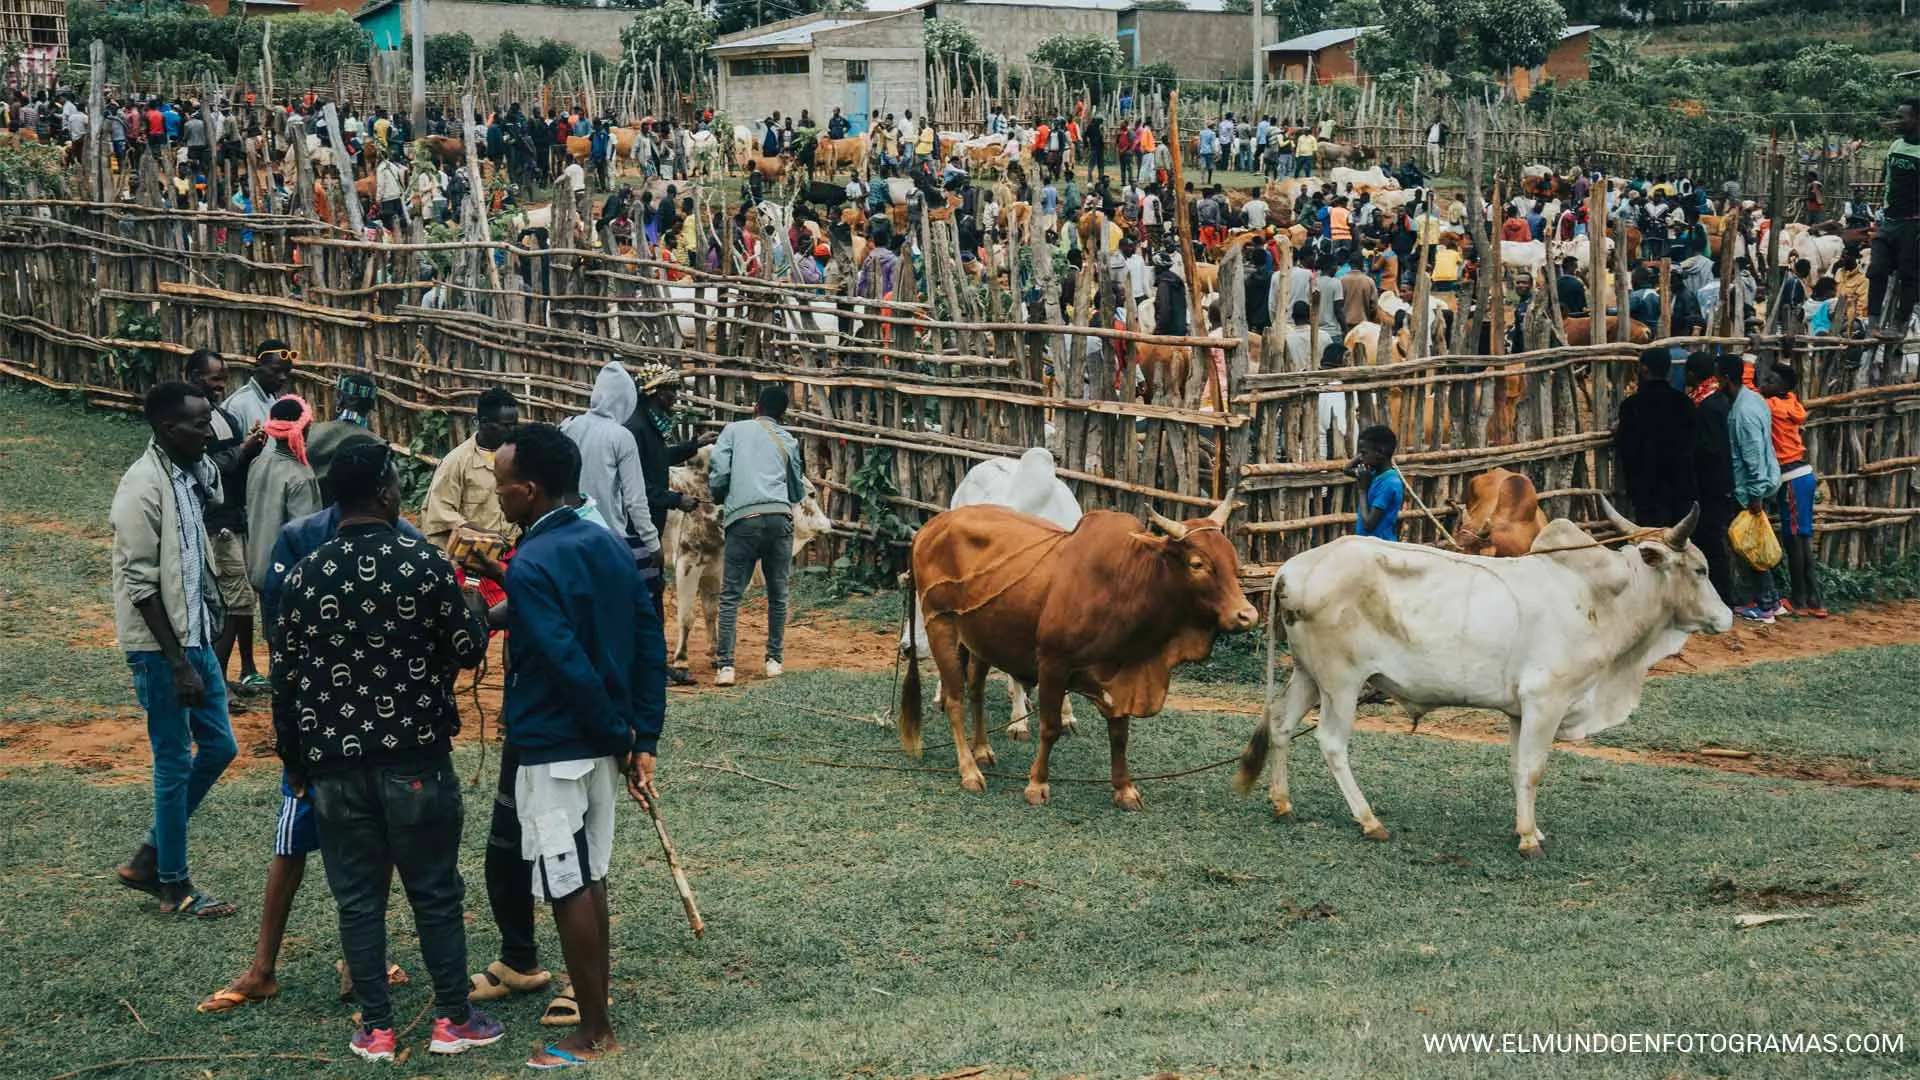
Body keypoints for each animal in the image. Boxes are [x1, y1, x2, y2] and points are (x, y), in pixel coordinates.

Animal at [668, 443, 833, 664]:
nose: (829, 524)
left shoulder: (715, 567)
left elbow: (711, 611)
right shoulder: (688, 562)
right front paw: (681, 657)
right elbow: (687, 617)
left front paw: (713, 651)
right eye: (812, 494)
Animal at [898, 495, 1259, 807]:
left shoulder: (1121, 674)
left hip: (980, 635)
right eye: (1197, 563)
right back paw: (969, 770)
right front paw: (1037, 785)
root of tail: (930, 527)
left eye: (1234, 563)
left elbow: (1119, 733)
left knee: (976, 690)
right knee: (954, 699)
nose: (1248, 615)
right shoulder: (1053, 664)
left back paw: (983, 751)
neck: (1128, 582)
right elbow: (1050, 728)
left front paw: (1125, 788)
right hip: (940, 624)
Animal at [1236, 499, 1735, 857]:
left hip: (1308, 676)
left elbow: (1516, 768)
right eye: (1701, 569)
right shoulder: (1546, 700)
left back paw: (1283, 804)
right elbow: (1533, 769)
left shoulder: (1519, 710)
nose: (1727, 617)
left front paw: (1528, 828)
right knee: (1332, 743)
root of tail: (1292, 568)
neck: (1601, 597)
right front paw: (1529, 841)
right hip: (1342, 683)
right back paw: (1369, 821)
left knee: (1281, 727)